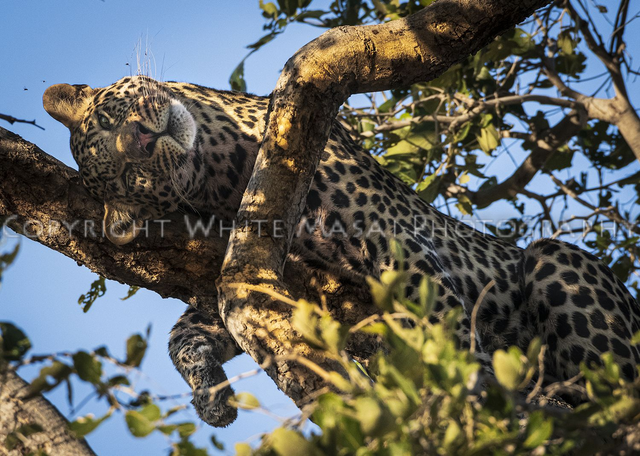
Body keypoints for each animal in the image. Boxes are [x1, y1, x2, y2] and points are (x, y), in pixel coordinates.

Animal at [43, 75, 640, 427]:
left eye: (111, 119)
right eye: (129, 176)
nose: (143, 140)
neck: (224, 163)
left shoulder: (395, 238)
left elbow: (438, 326)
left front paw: (467, 394)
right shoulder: (252, 279)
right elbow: (184, 335)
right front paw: (212, 399)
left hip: (554, 259)